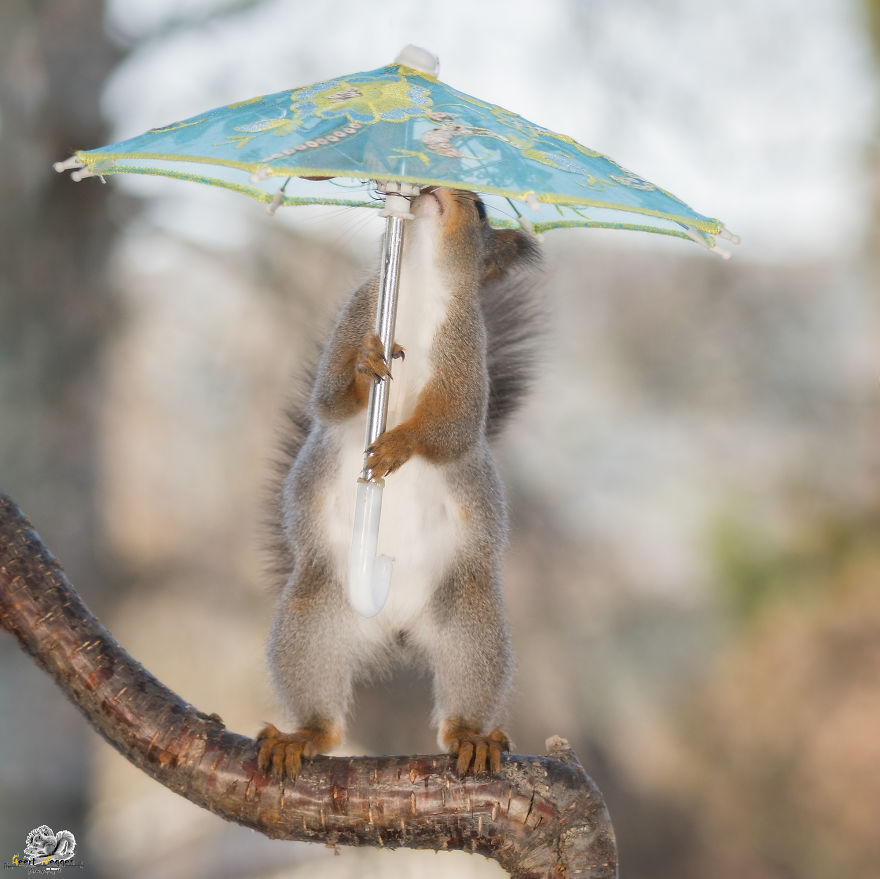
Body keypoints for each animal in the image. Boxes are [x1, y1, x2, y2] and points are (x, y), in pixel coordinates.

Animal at [258, 186, 541, 778]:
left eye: (480, 206)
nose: (431, 188)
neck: (411, 282)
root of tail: (394, 628)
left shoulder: (466, 352)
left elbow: (451, 428)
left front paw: (396, 445)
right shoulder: (358, 309)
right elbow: (329, 397)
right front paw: (367, 365)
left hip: (469, 624)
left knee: (467, 686)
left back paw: (471, 738)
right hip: (313, 621)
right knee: (322, 708)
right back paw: (302, 737)